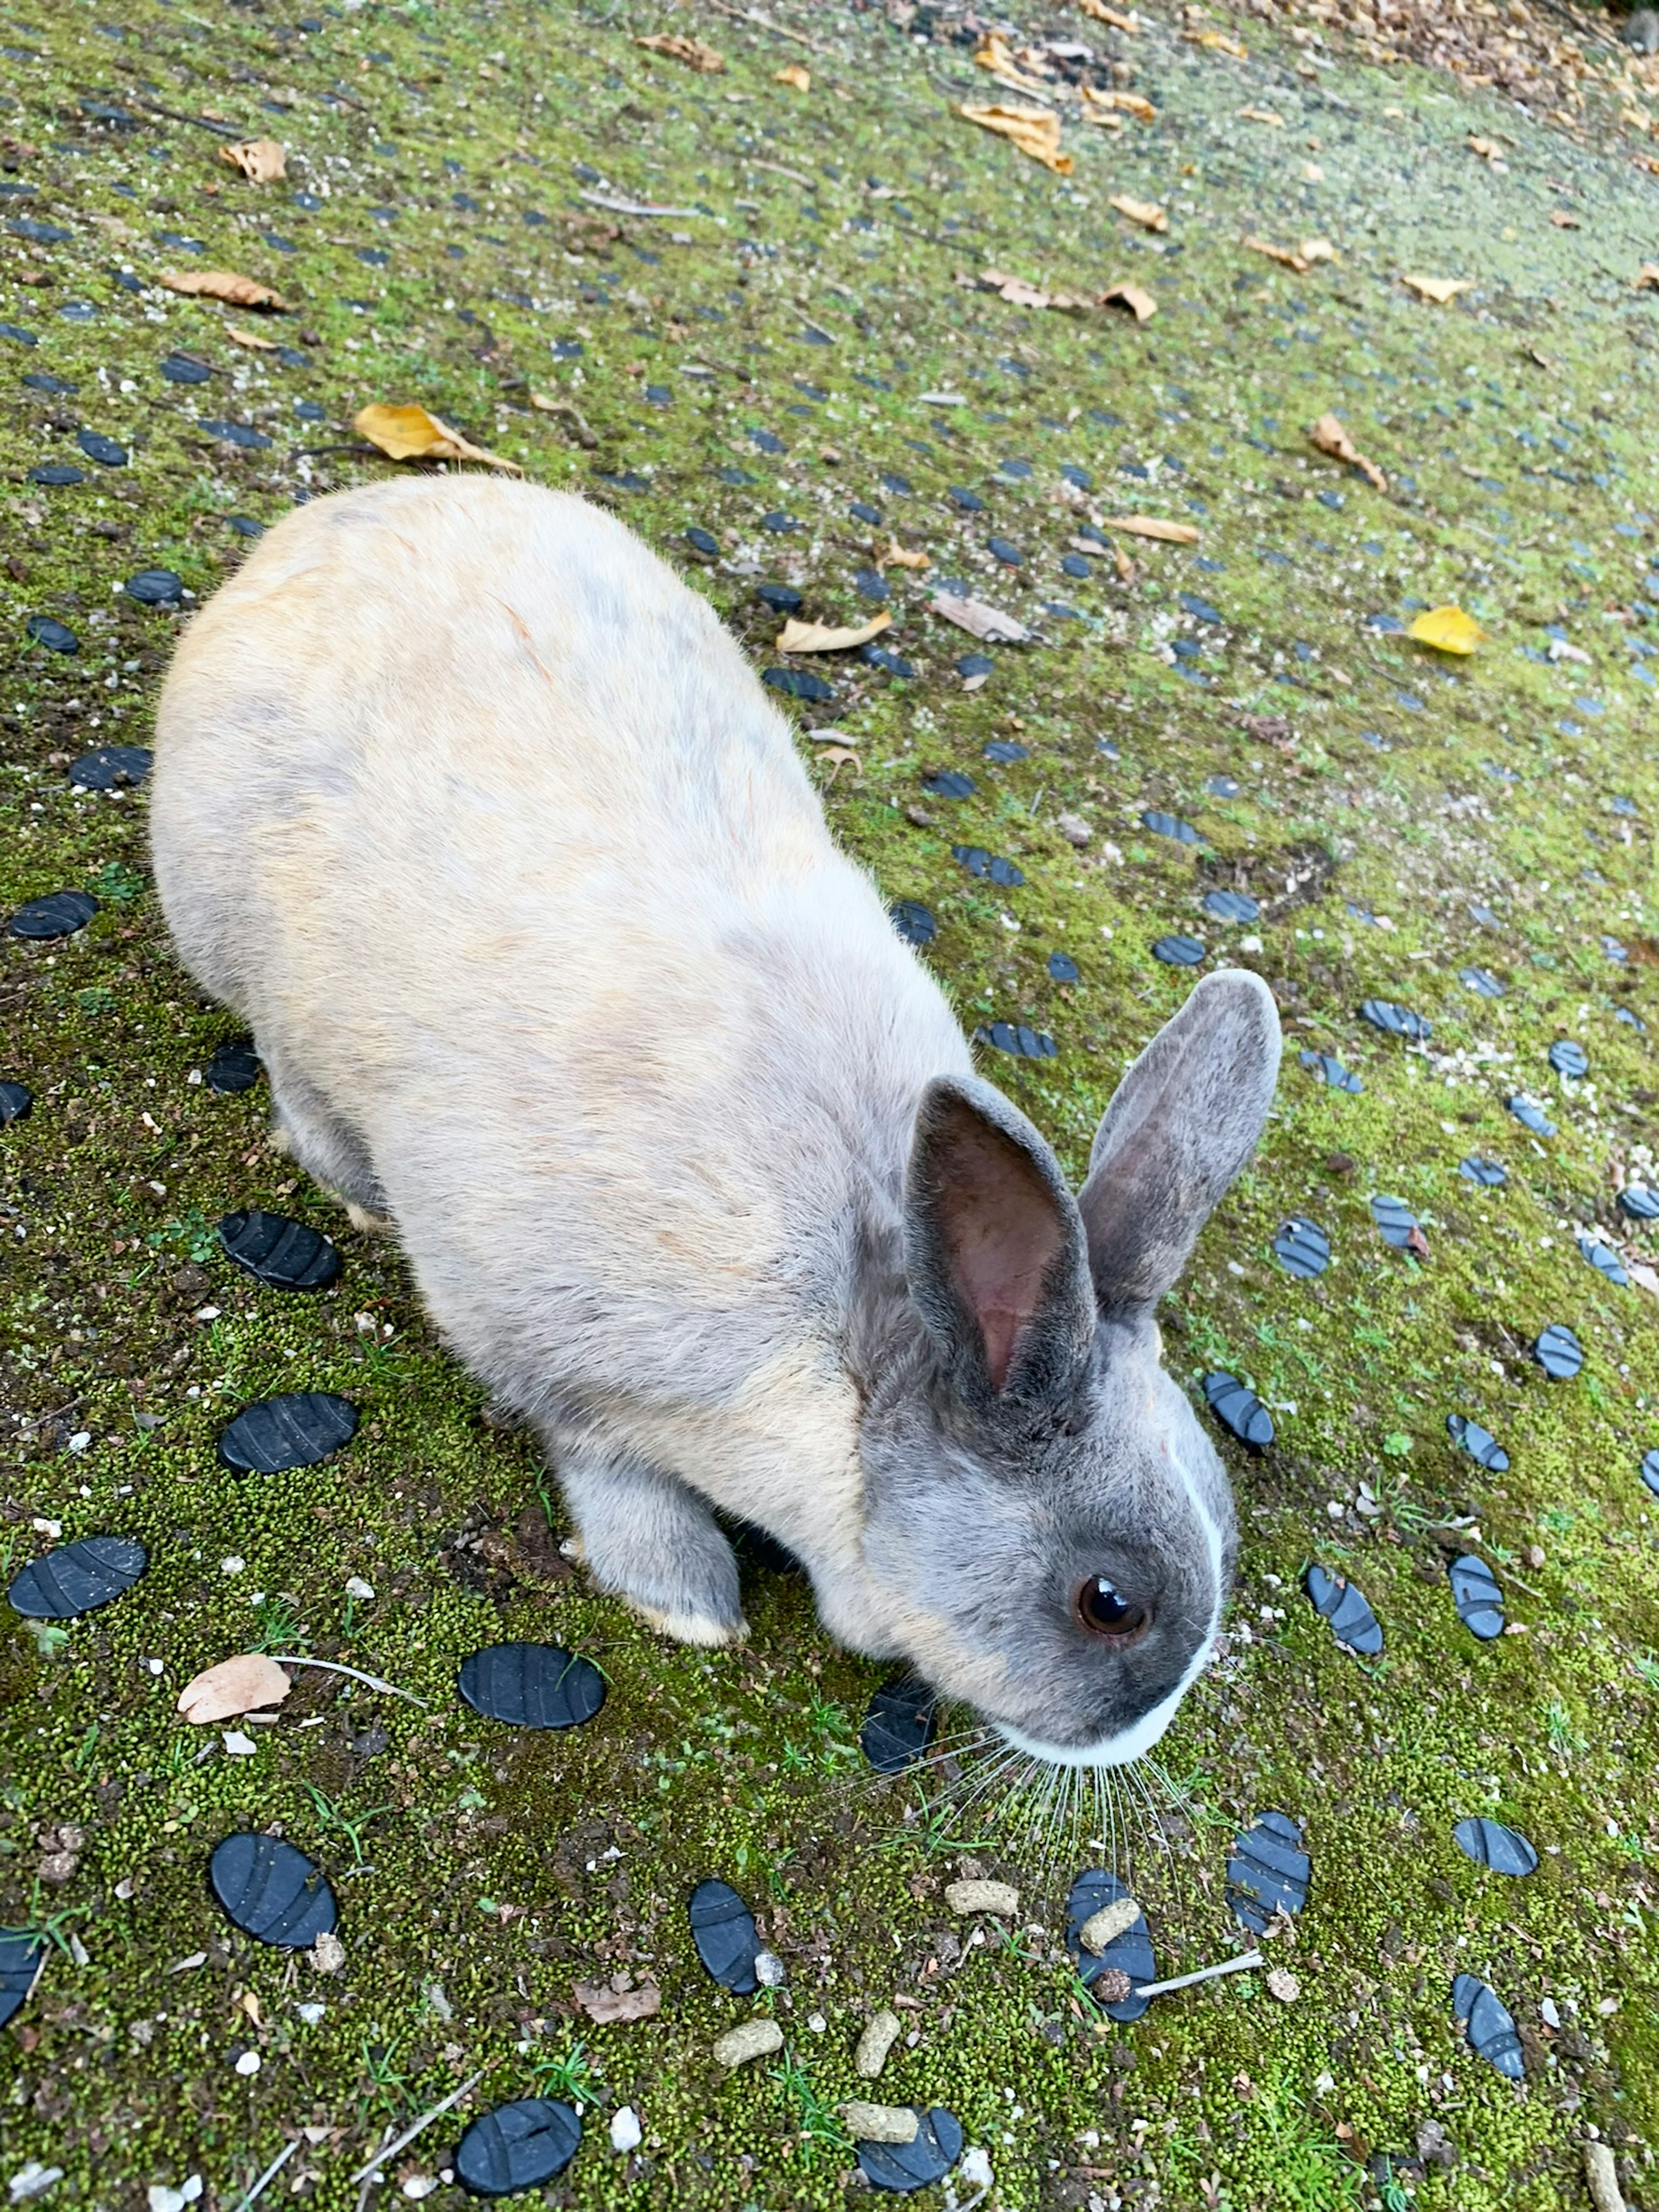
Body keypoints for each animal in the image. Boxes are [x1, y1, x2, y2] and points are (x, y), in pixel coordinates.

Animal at [146, 475, 1283, 1770]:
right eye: (1108, 1602)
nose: (1135, 1741)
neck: (859, 1335)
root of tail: (338, 516)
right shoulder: (552, 1352)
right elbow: (606, 1468)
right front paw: (685, 1601)